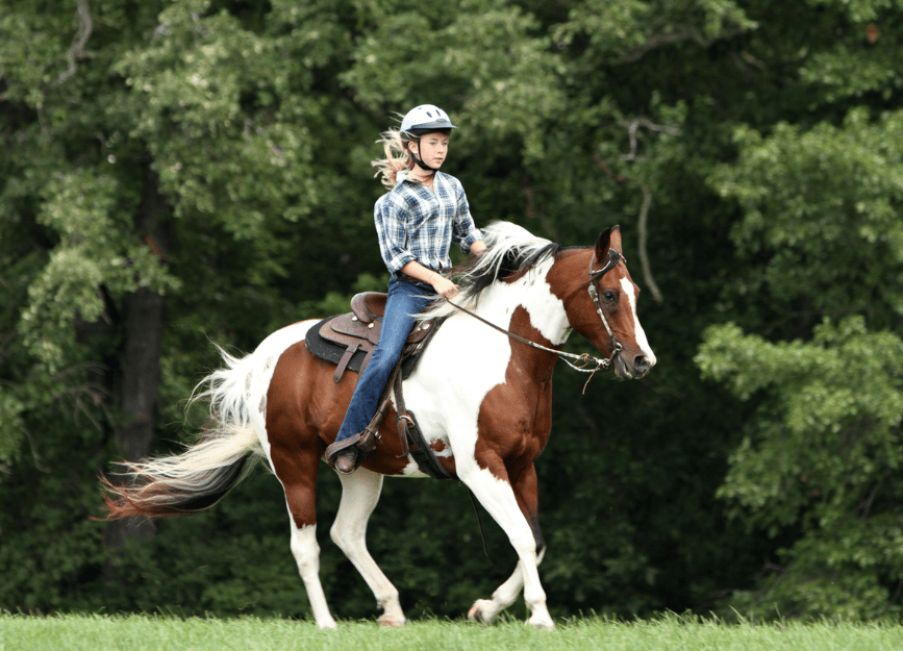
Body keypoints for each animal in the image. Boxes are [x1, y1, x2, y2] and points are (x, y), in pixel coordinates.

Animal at [101, 221, 656, 630]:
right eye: (609, 295)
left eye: (634, 291)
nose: (642, 361)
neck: (505, 353)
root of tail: (261, 360)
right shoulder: (481, 467)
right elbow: (520, 535)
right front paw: (538, 617)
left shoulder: (522, 464)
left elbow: (535, 542)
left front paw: (486, 608)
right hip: (293, 463)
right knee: (306, 544)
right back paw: (327, 624)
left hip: (361, 469)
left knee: (346, 533)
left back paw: (391, 609)